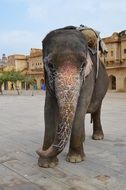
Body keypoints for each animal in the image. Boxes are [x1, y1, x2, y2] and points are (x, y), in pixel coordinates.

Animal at [36, 26, 108, 167]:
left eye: (83, 64)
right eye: (50, 65)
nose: (39, 150)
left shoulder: (88, 76)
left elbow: (81, 106)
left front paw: (75, 159)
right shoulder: (47, 79)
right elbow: (49, 107)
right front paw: (46, 164)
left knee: (97, 109)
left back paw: (98, 137)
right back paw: (84, 140)